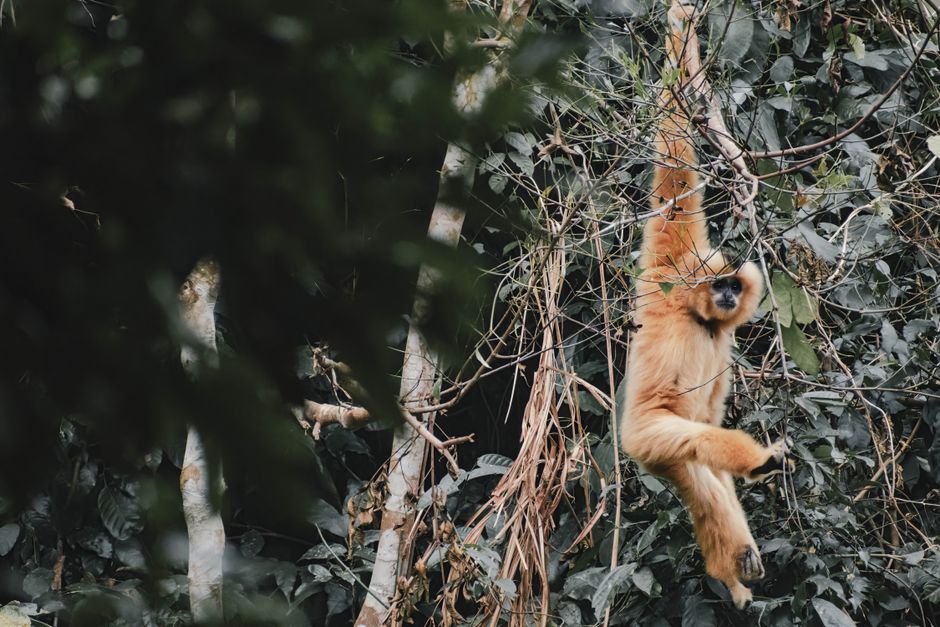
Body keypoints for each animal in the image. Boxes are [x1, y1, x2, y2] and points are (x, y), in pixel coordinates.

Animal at [618, 2, 792, 610]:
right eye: (719, 285)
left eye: (734, 287)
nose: (726, 295)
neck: (699, 318)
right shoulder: (671, 269)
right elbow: (674, 165)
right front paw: (679, 26)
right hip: (646, 436)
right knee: (695, 449)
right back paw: (757, 466)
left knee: (704, 475)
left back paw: (734, 566)